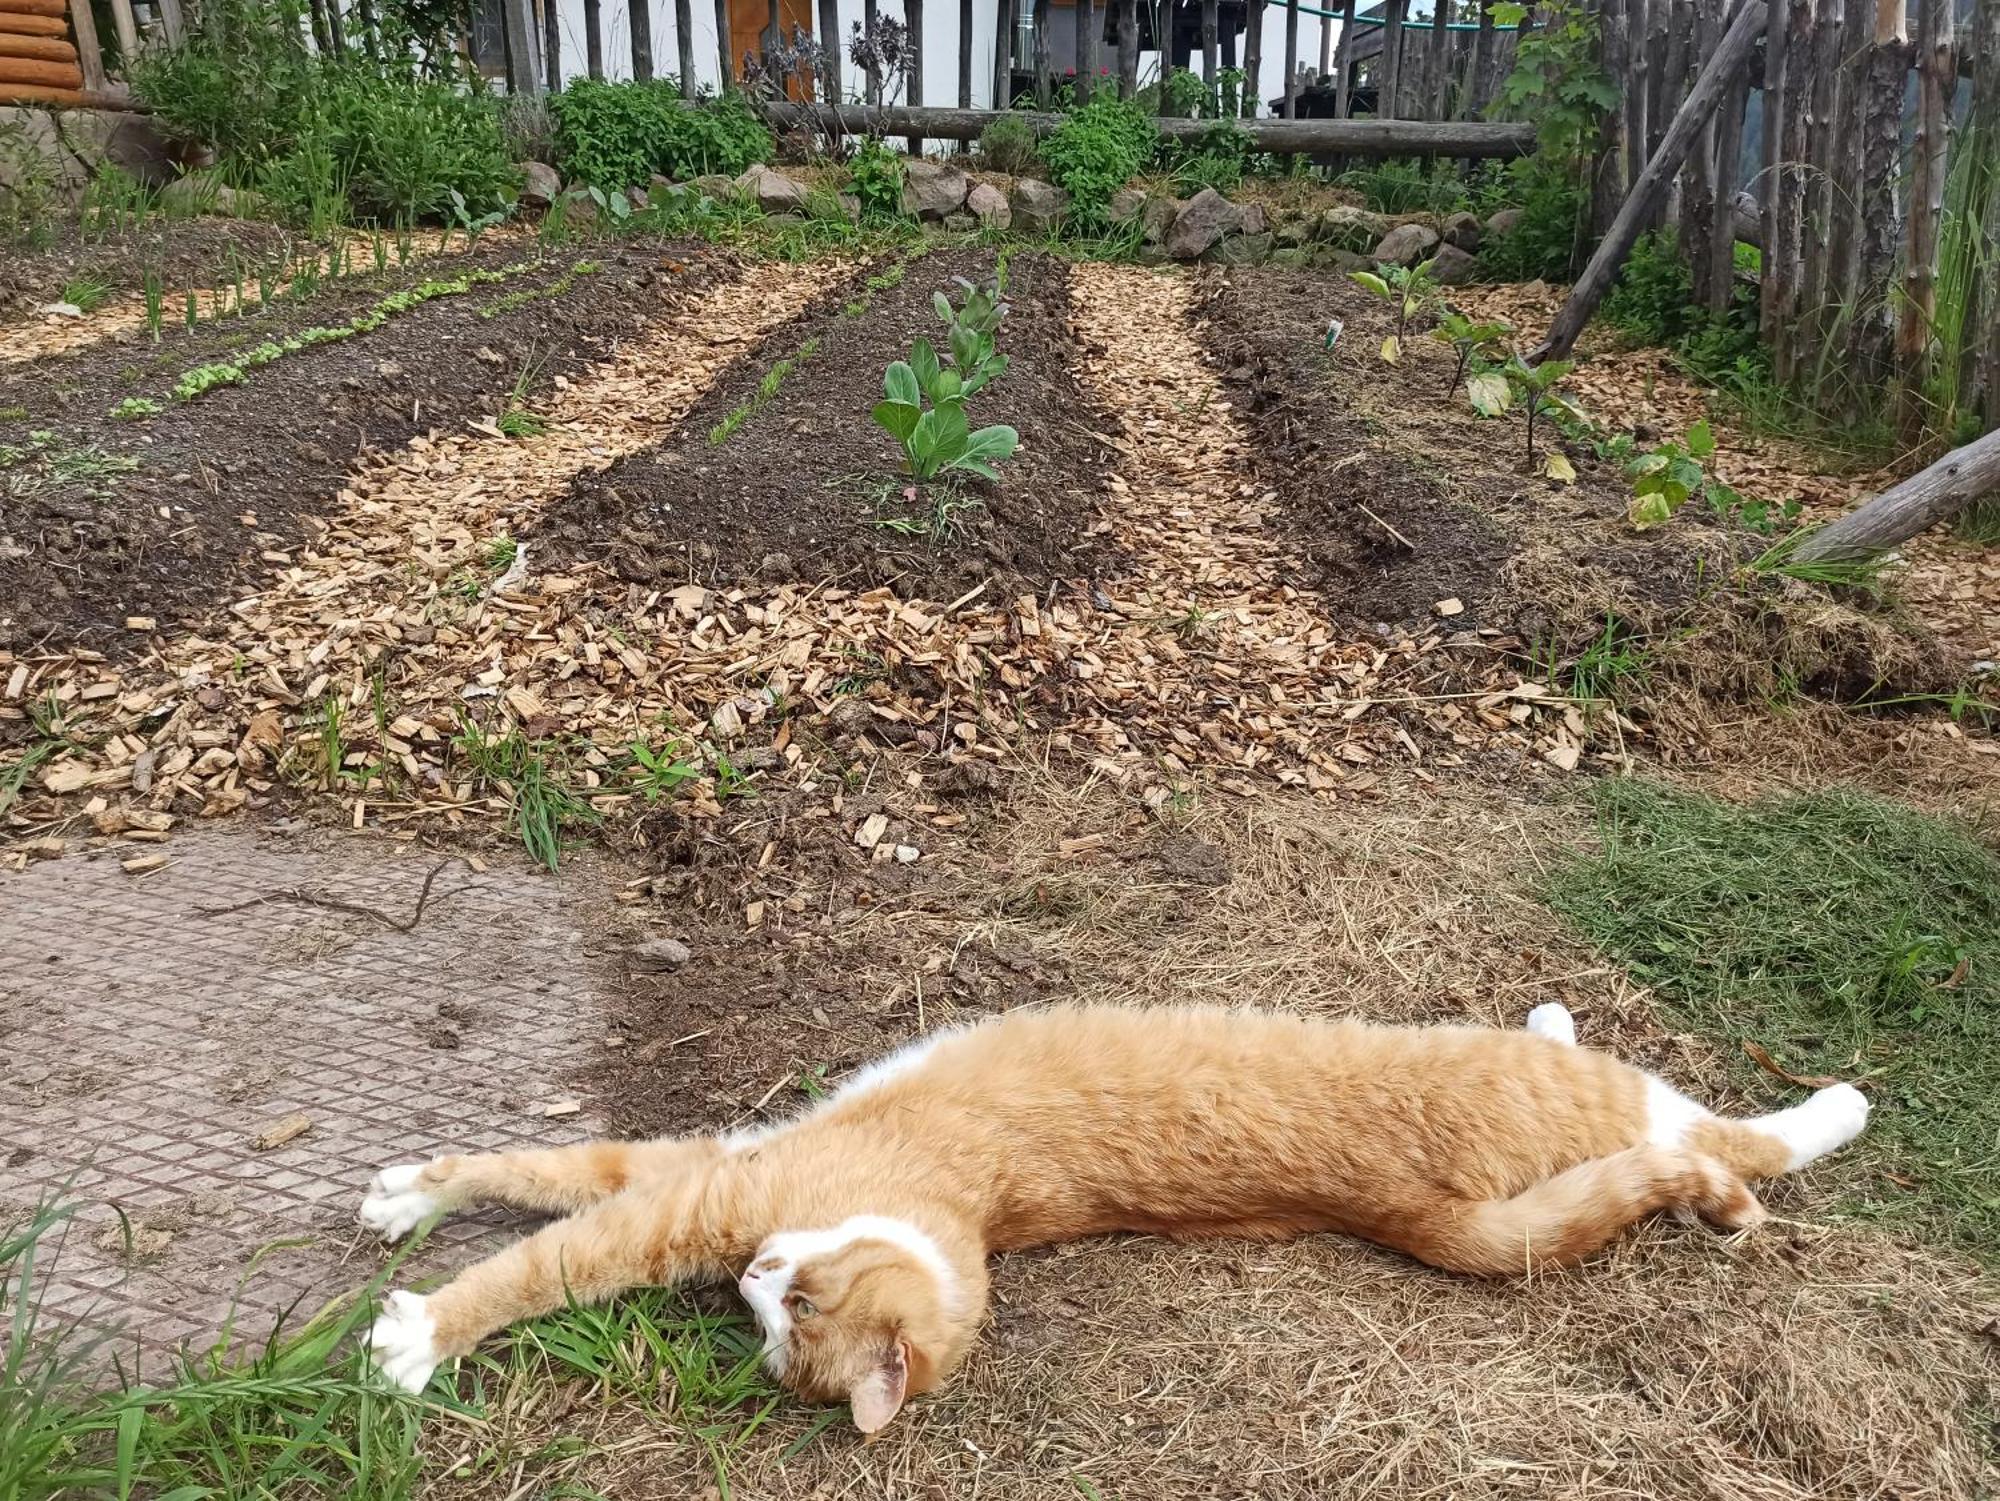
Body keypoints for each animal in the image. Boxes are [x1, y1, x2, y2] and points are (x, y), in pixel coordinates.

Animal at [356, 1004, 1856, 1424]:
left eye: (796, 1318)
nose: (756, 1279)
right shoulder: (710, 1166)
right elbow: (546, 1164)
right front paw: (412, 1190)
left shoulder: (705, 1190)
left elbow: (550, 1250)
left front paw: (420, 1333)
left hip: (1603, 1095)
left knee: (1720, 1136)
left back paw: (1829, 1107)